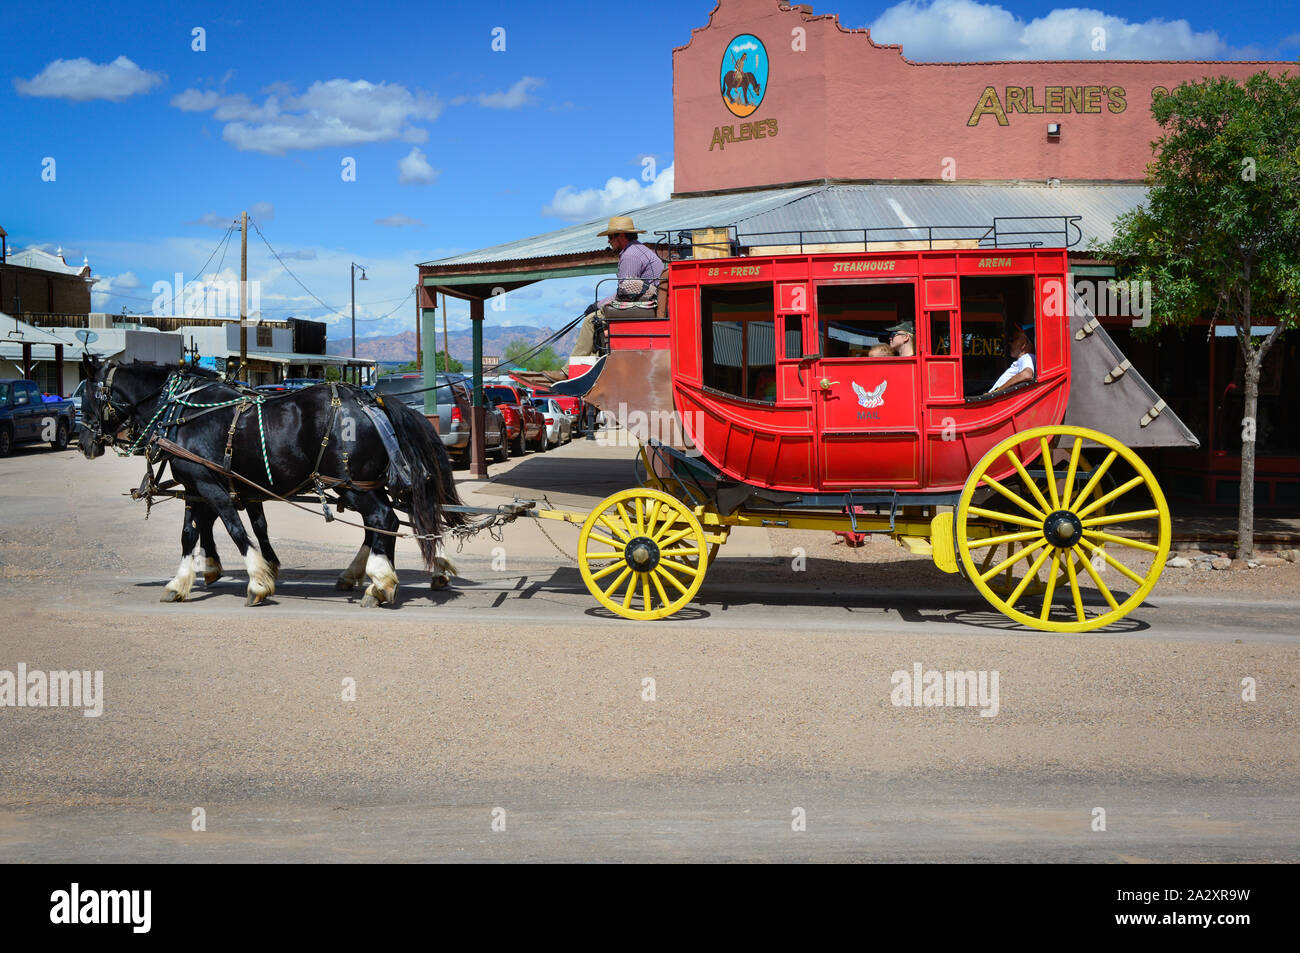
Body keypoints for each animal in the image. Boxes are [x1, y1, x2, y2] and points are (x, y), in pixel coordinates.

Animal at [78, 353, 465, 605]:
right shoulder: (197, 487)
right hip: (363, 485)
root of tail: (370, 398)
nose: (84, 444)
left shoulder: (210, 485)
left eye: (84, 397)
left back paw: (382, 582)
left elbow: (235, 528)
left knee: (384, 519)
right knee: (388, 522)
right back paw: (374, 576)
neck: (180, 411)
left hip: (353, 485)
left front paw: (258, 581)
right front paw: (181, 581)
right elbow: (193, 533)